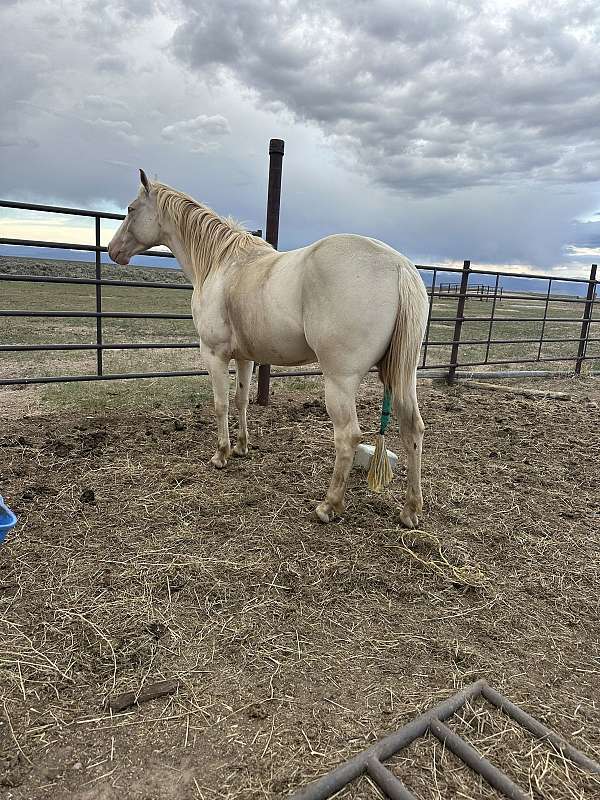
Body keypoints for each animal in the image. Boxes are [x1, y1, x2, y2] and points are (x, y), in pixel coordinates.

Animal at [108, 170, 429, 527]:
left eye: (131, 209)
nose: (112, 250)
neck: (220, 264)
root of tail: (398, 266)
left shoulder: (213, 354)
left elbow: (220, 404)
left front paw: (221, 454)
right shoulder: (244, 358)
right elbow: (240, 401)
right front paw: (241, 447)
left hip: (340, 380)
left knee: (348, 436)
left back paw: (329, 505)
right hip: (402, 376)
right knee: (413, 430)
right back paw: (410, 510)